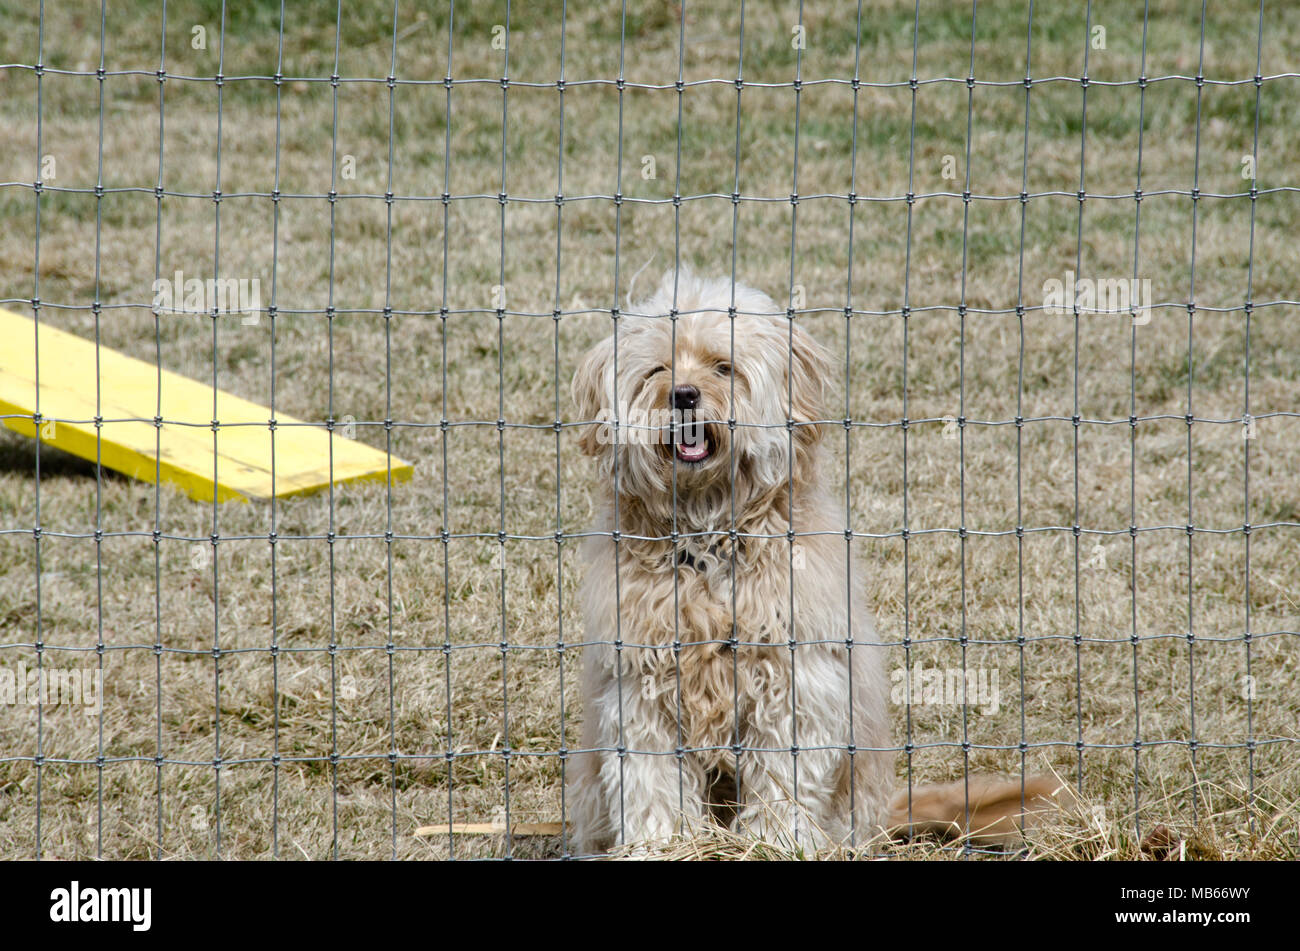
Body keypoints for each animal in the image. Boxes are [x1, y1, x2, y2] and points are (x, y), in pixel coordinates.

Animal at [569, 268, 1055, 852]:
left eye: (722, 366)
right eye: (658, 369)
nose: (682, 394)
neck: (711, 537)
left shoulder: (795, 684)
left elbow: (784, 778)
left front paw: (775, 843)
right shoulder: (641, 690)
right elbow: (650, 782)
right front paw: (664, 846)